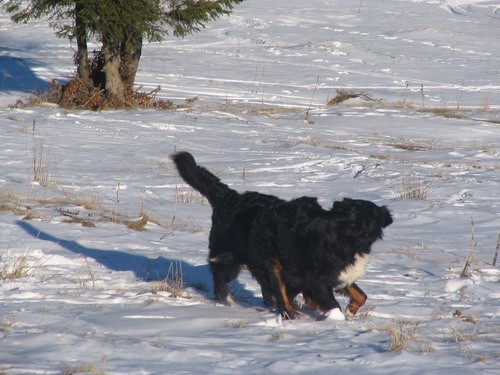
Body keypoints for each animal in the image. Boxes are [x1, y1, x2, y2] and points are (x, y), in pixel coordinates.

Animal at [237, 197, 390, 320]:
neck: (348, 232)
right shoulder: (317, 279)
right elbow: (334, 304)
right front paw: (337, 318)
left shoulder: (339, 273)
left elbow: (361, 295)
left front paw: (350, 309)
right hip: (274, 264)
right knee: (282, 295)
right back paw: (292, 314)